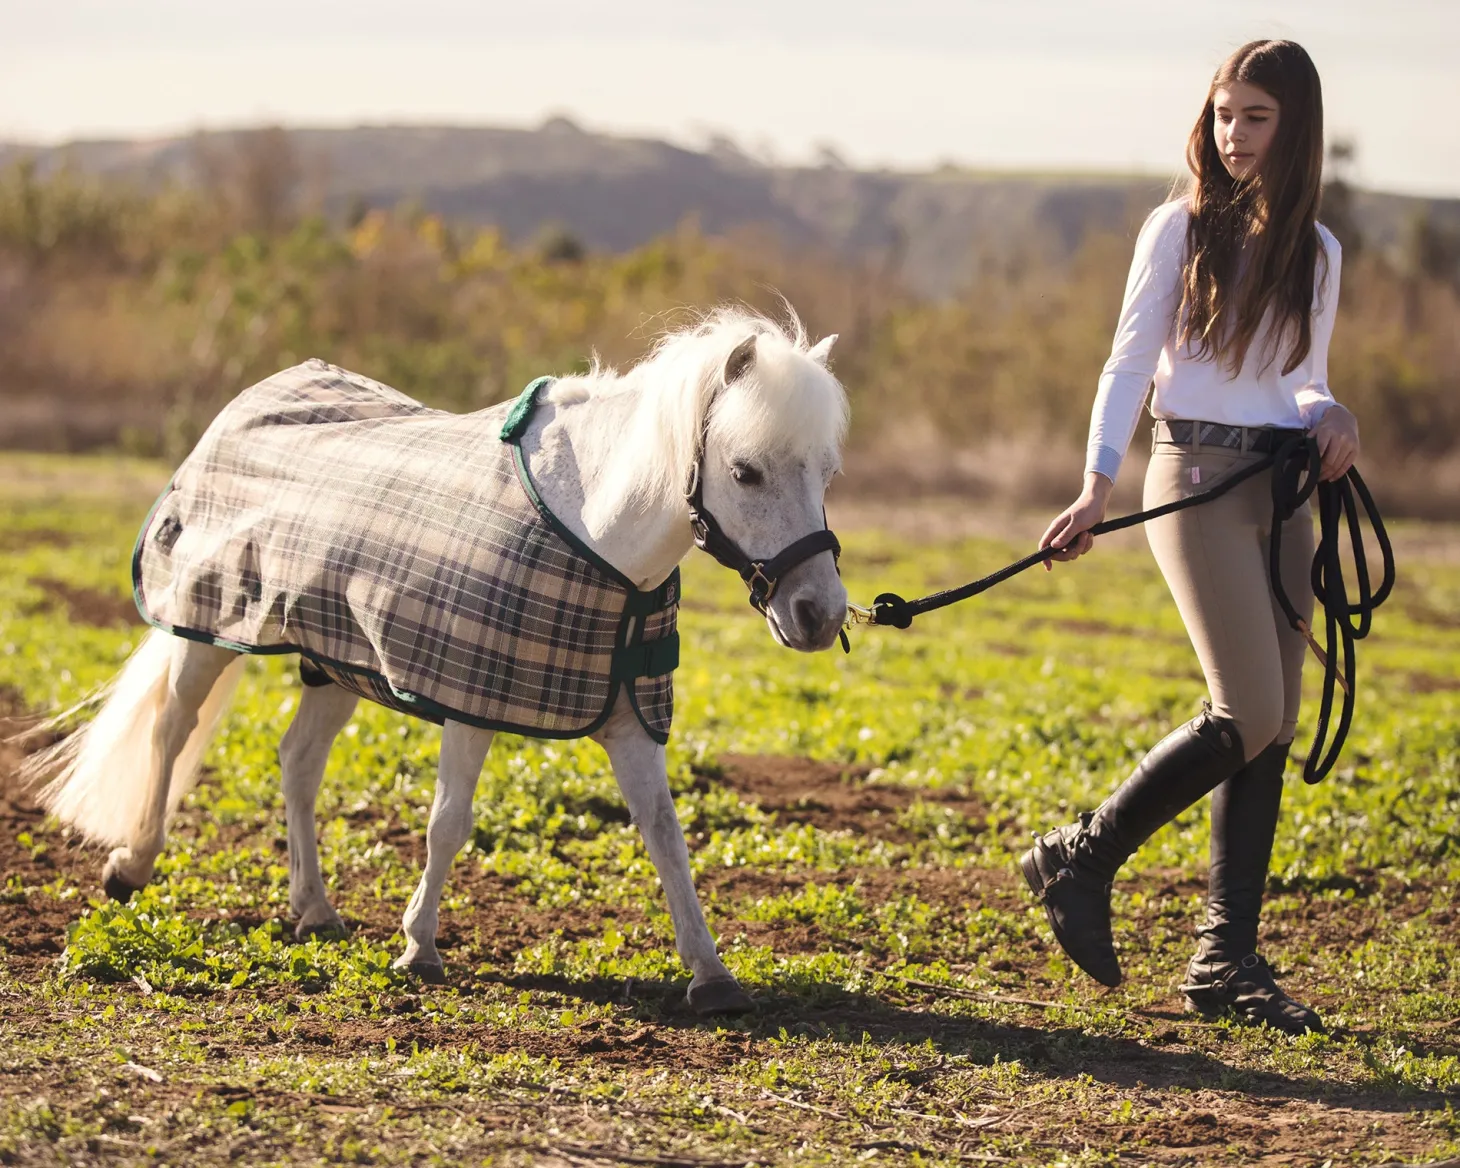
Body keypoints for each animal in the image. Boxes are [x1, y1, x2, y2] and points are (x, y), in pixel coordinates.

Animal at [23, 307, 850, 1016]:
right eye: (744, 471)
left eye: (826, 472)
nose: (821, 615)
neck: (596, 533)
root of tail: (247, 401)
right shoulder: (471, 697)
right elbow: (448, 822)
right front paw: (418, 947)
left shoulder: (627, 712)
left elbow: (665, 833)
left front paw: (710, 973)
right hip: (206, 629)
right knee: (172, 729)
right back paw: (132, 866)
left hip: (336, 662)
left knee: (298, 762)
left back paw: (314, 909)